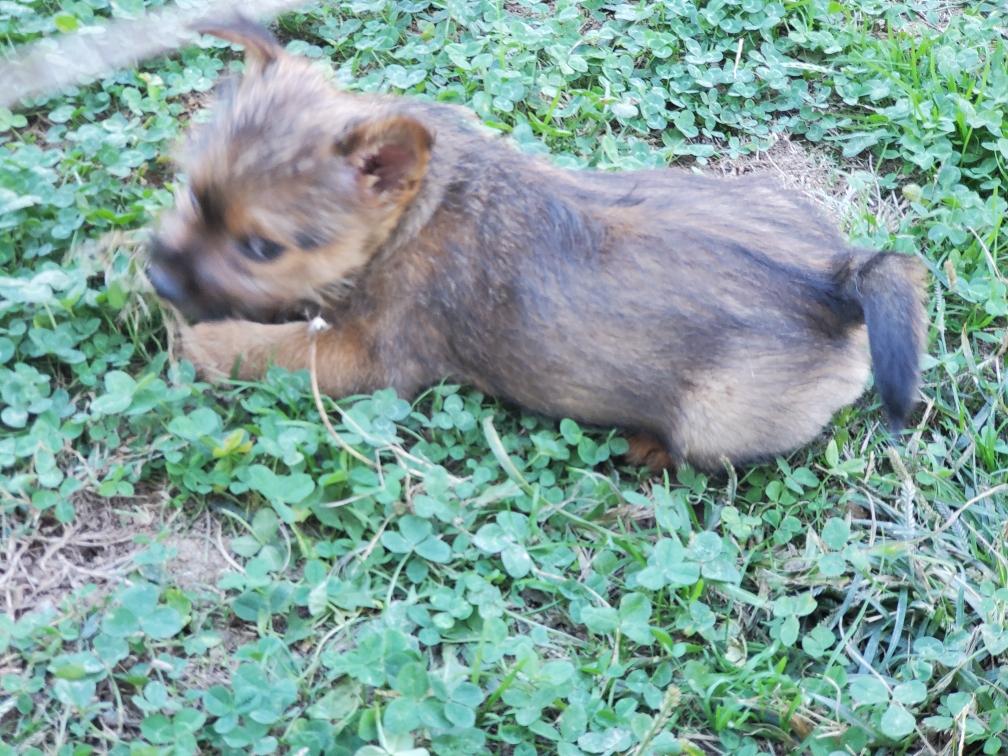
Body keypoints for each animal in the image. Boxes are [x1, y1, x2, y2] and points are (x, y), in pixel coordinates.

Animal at [147, 18, 927, 471]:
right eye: (188, 191)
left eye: (260, 247)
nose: (156, 278)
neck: (416, 215)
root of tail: (839, 277)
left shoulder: (371, 358)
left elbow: (286, 348)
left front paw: (208, 341)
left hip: (716, 421)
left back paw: (647, 448)